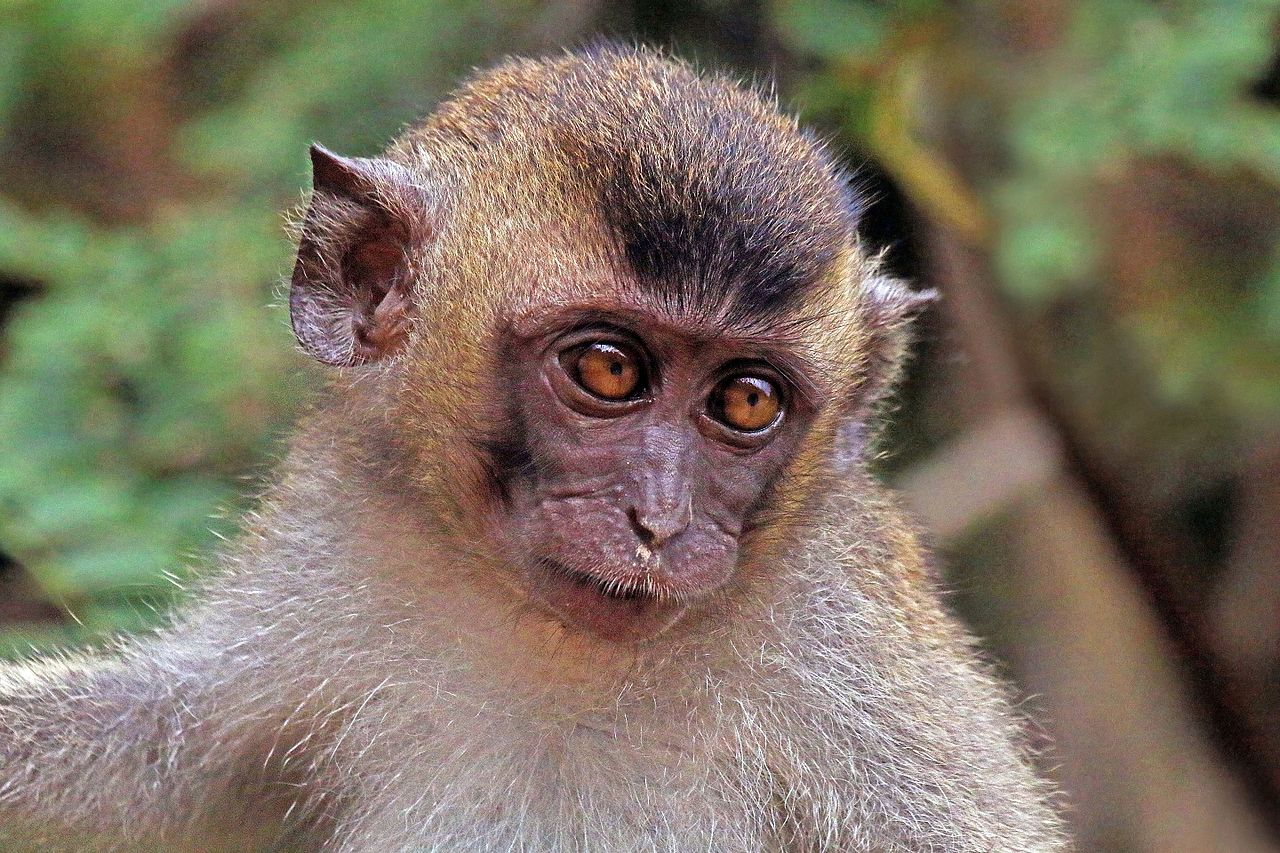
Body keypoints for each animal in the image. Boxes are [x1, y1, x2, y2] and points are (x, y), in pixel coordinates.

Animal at [0, 46, 1059, 850]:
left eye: (746, 399)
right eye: (608, 370)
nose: (659, 521)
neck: (549, 639)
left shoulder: (854, 649)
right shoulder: (335, 523)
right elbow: (171, 753)